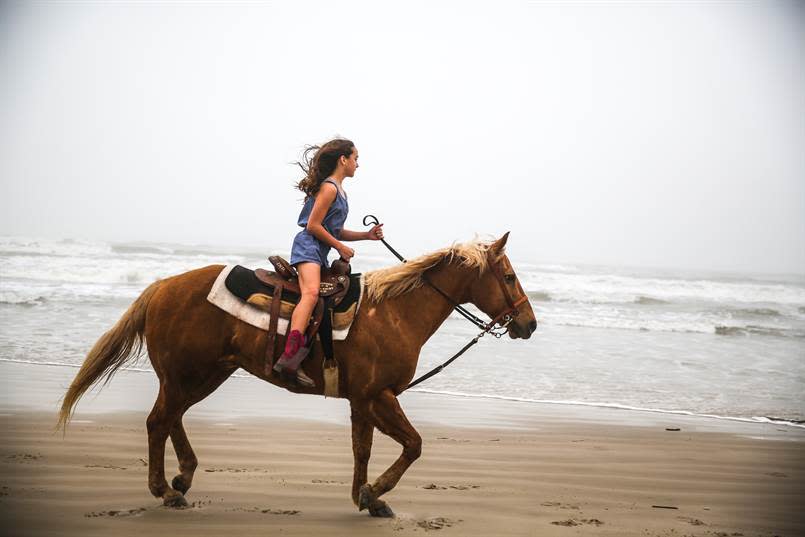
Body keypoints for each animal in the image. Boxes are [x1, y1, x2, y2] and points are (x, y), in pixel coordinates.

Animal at [59, 233, 536, 516]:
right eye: (509, 275)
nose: (529, 324)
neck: (393, 312)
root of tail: (161, 286)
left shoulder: (362, 400)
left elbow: (362, 449)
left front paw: (364, 495)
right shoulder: (378, 395)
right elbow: (415, 444)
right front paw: (376, 492)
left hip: (204, 375)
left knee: (170, 418)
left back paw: (183, 477)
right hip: (187, 376)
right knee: (159, 421)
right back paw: (167, 489)